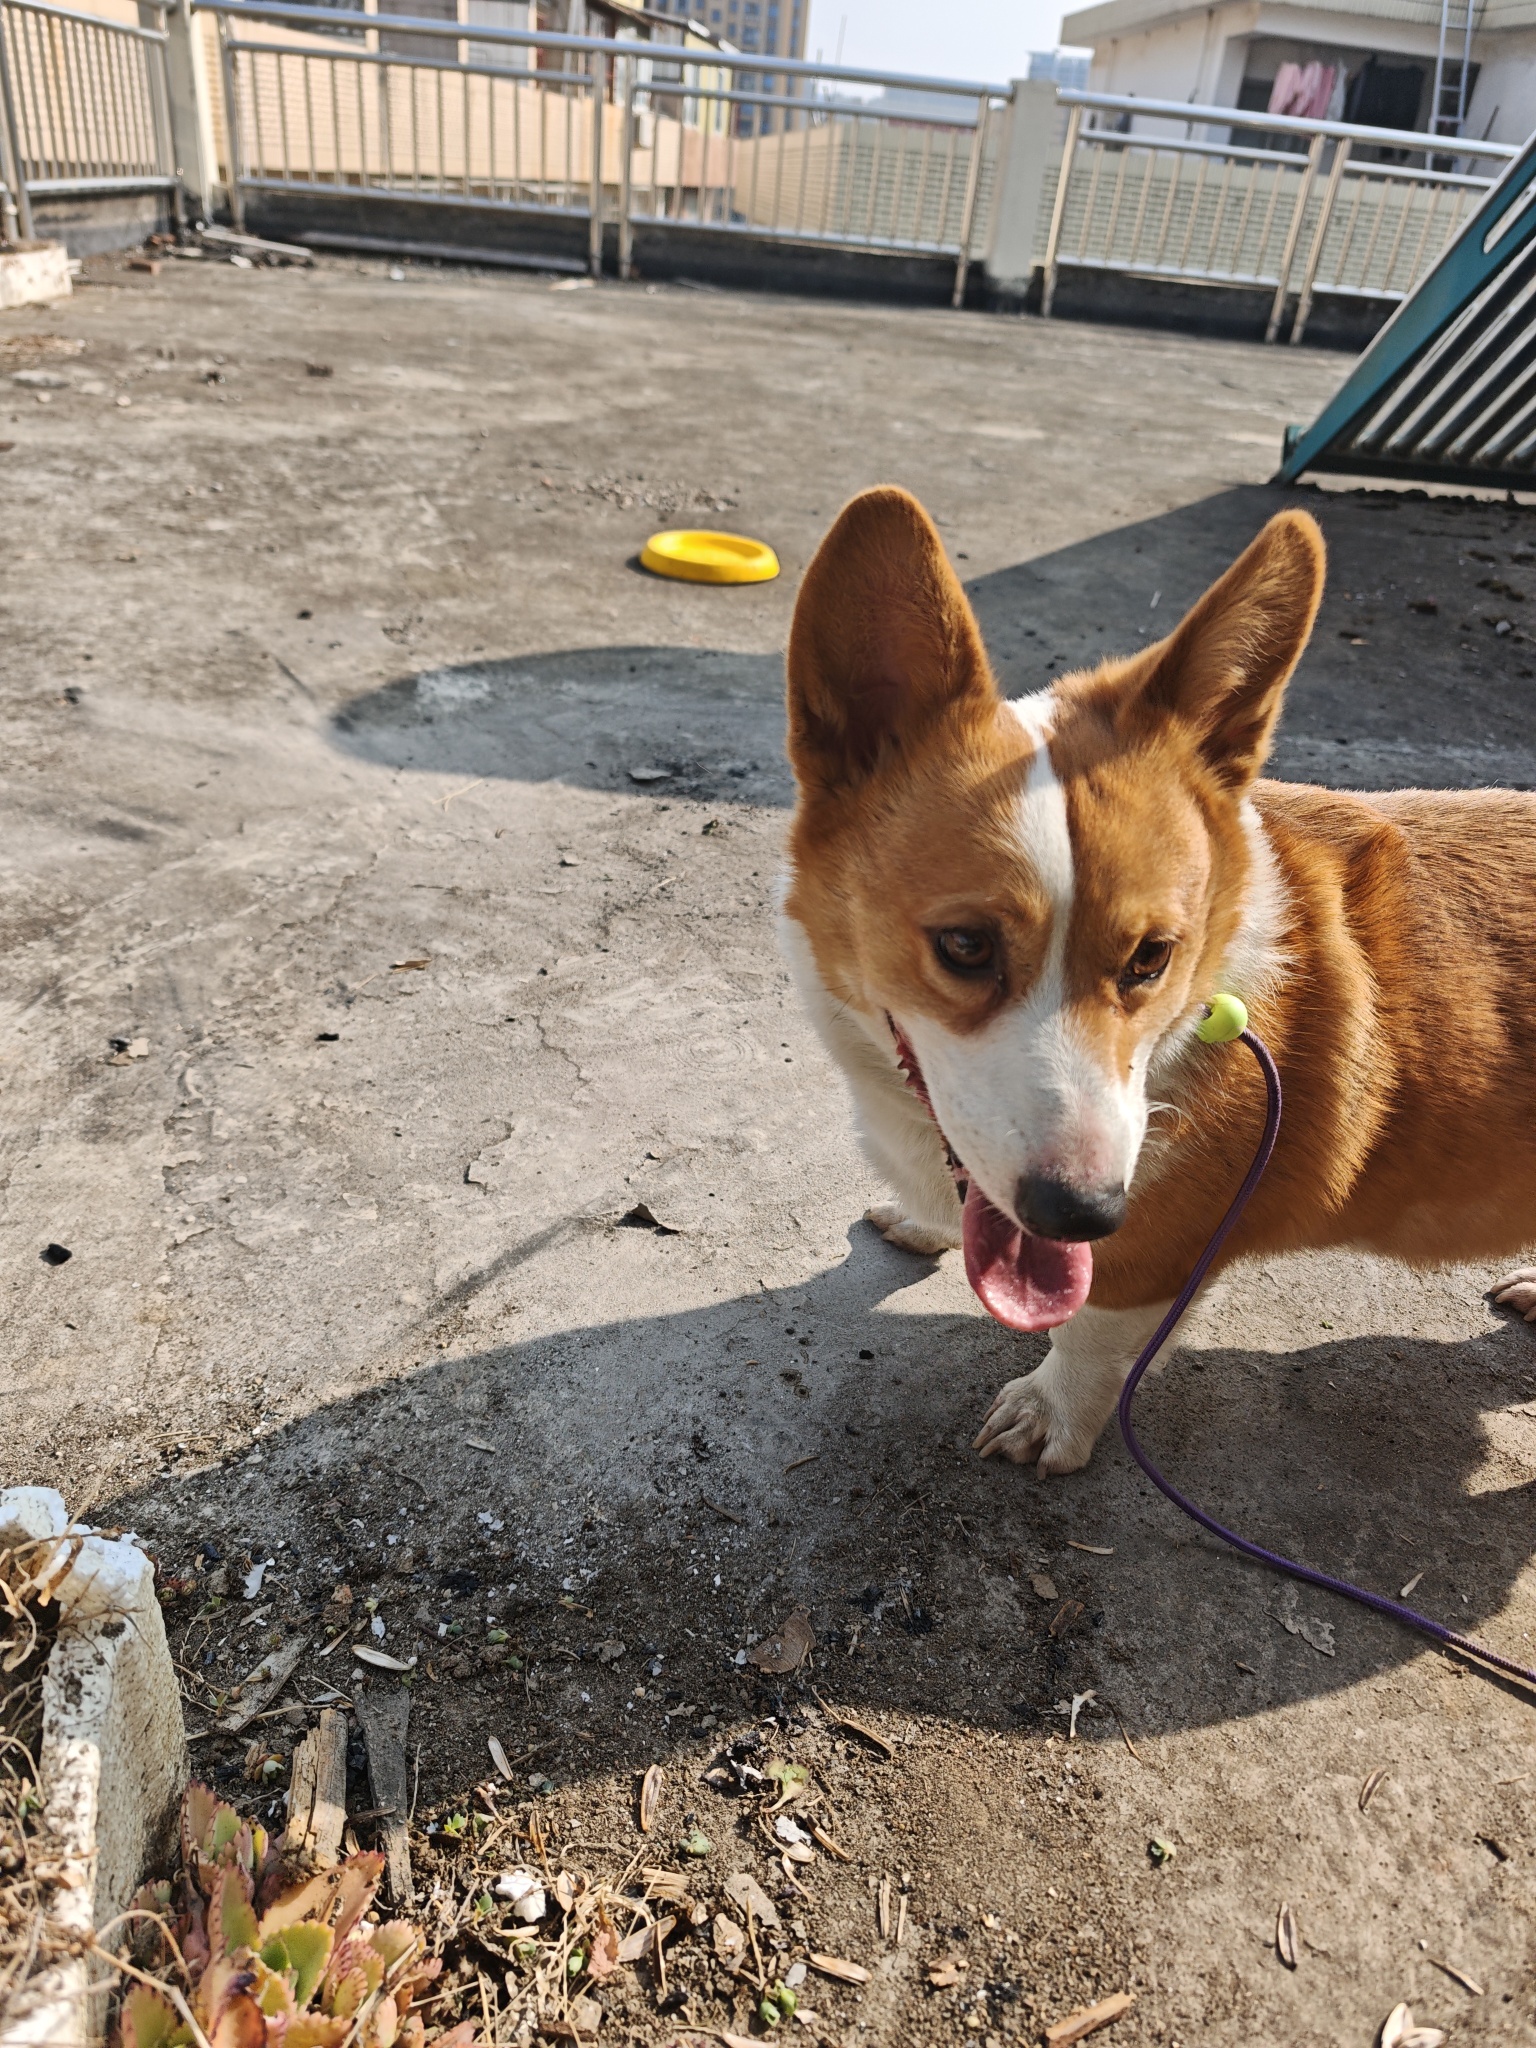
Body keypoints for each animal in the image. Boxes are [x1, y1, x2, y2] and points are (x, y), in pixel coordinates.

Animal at [780, 485, 1536, 1475]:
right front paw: (934, 1225)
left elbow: (1093, 1337)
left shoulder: (1152, 1261)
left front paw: (1051, 1414)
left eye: (1152, 958)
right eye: (966, 946)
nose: (1084, 1213)